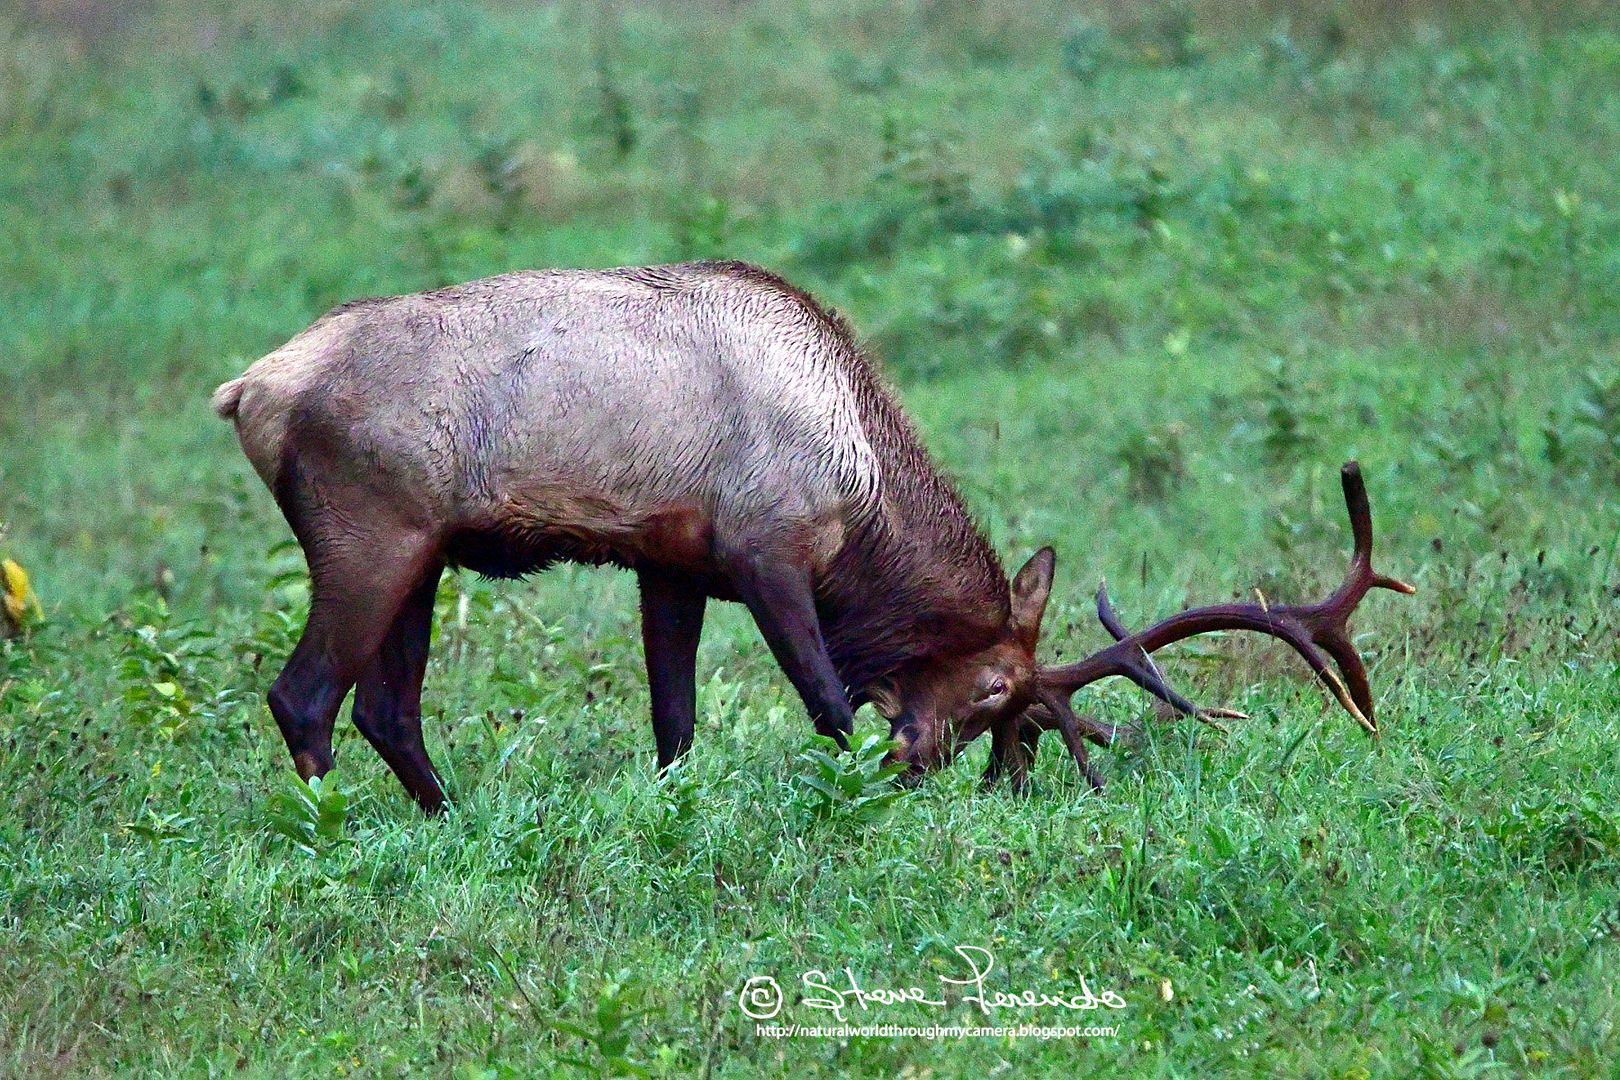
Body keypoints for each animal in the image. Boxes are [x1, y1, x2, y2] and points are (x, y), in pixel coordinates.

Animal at [212, 262, 1406, 816]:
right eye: (995, 692)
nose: (939, 767)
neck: (861, 491)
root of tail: (248, 389)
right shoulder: (765, 548)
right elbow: (828, 701)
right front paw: (858, 796)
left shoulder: (669, 560)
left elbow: (675, 719)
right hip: (370, 531)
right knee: (304, 696)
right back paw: (334, 829)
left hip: (424, 555)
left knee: (386, 709)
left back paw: (451, 819)